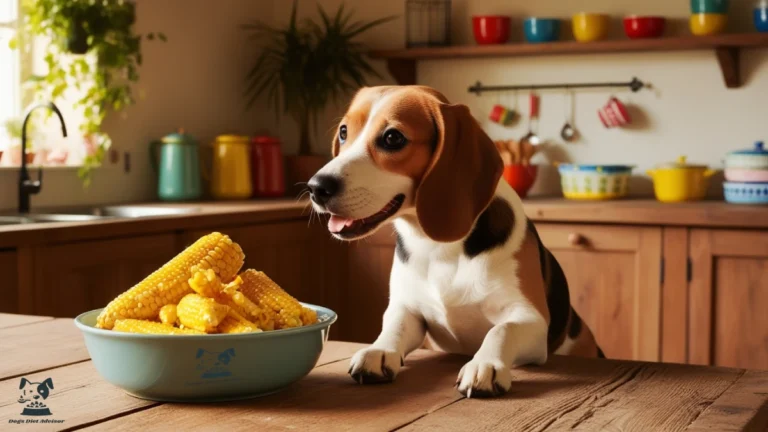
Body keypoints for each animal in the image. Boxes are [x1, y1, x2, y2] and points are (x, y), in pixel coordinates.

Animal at [308, 85, 604, 398]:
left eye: (392, 138)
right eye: (343, 132)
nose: (316, 187)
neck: (437, 247)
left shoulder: (531, 319)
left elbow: (500, 330)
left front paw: (485, 364)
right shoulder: (407, 308)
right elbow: (393, 327)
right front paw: (379, 350)